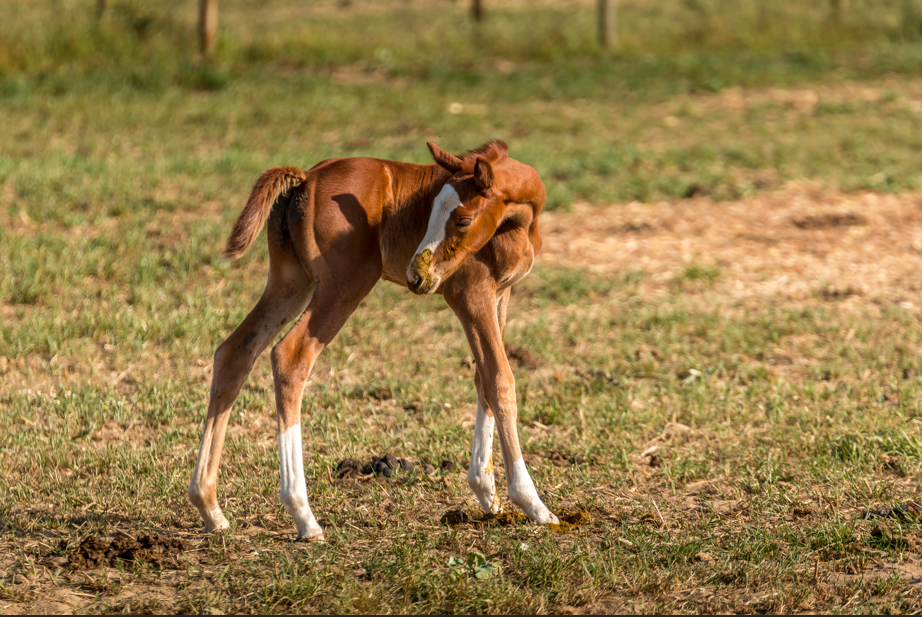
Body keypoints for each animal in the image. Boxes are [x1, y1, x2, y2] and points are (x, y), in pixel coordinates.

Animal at [188, 140, 560, 540]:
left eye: (462, 219)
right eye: (431, 211)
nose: (417, 276)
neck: (520, 224)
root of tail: (306, 179)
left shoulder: (500, 294)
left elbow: (483, 378)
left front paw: (488, 496)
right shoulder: (469, 293)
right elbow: (500, 379)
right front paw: (533, 503)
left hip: (291, 282)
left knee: (235, 352)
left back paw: (210, 507)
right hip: (344, 285)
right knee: (290, 356)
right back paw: (304, 516)